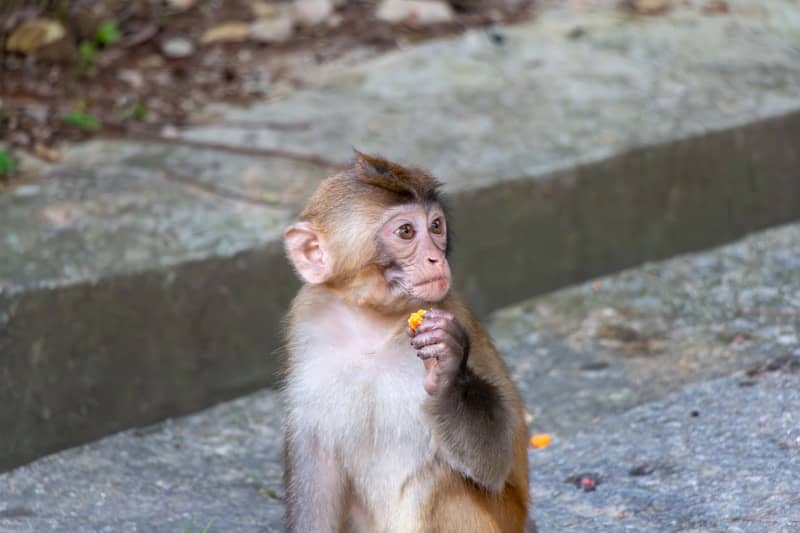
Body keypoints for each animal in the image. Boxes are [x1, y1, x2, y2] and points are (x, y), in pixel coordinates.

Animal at [281, 151, 533, 533]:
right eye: (405, 231)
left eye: (436, 226)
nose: (435, 258)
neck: (372, 323)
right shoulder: (310, 321)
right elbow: (315, 455)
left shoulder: (450, 310)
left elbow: (494, 463)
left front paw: (448, 373)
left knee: (437, 484)